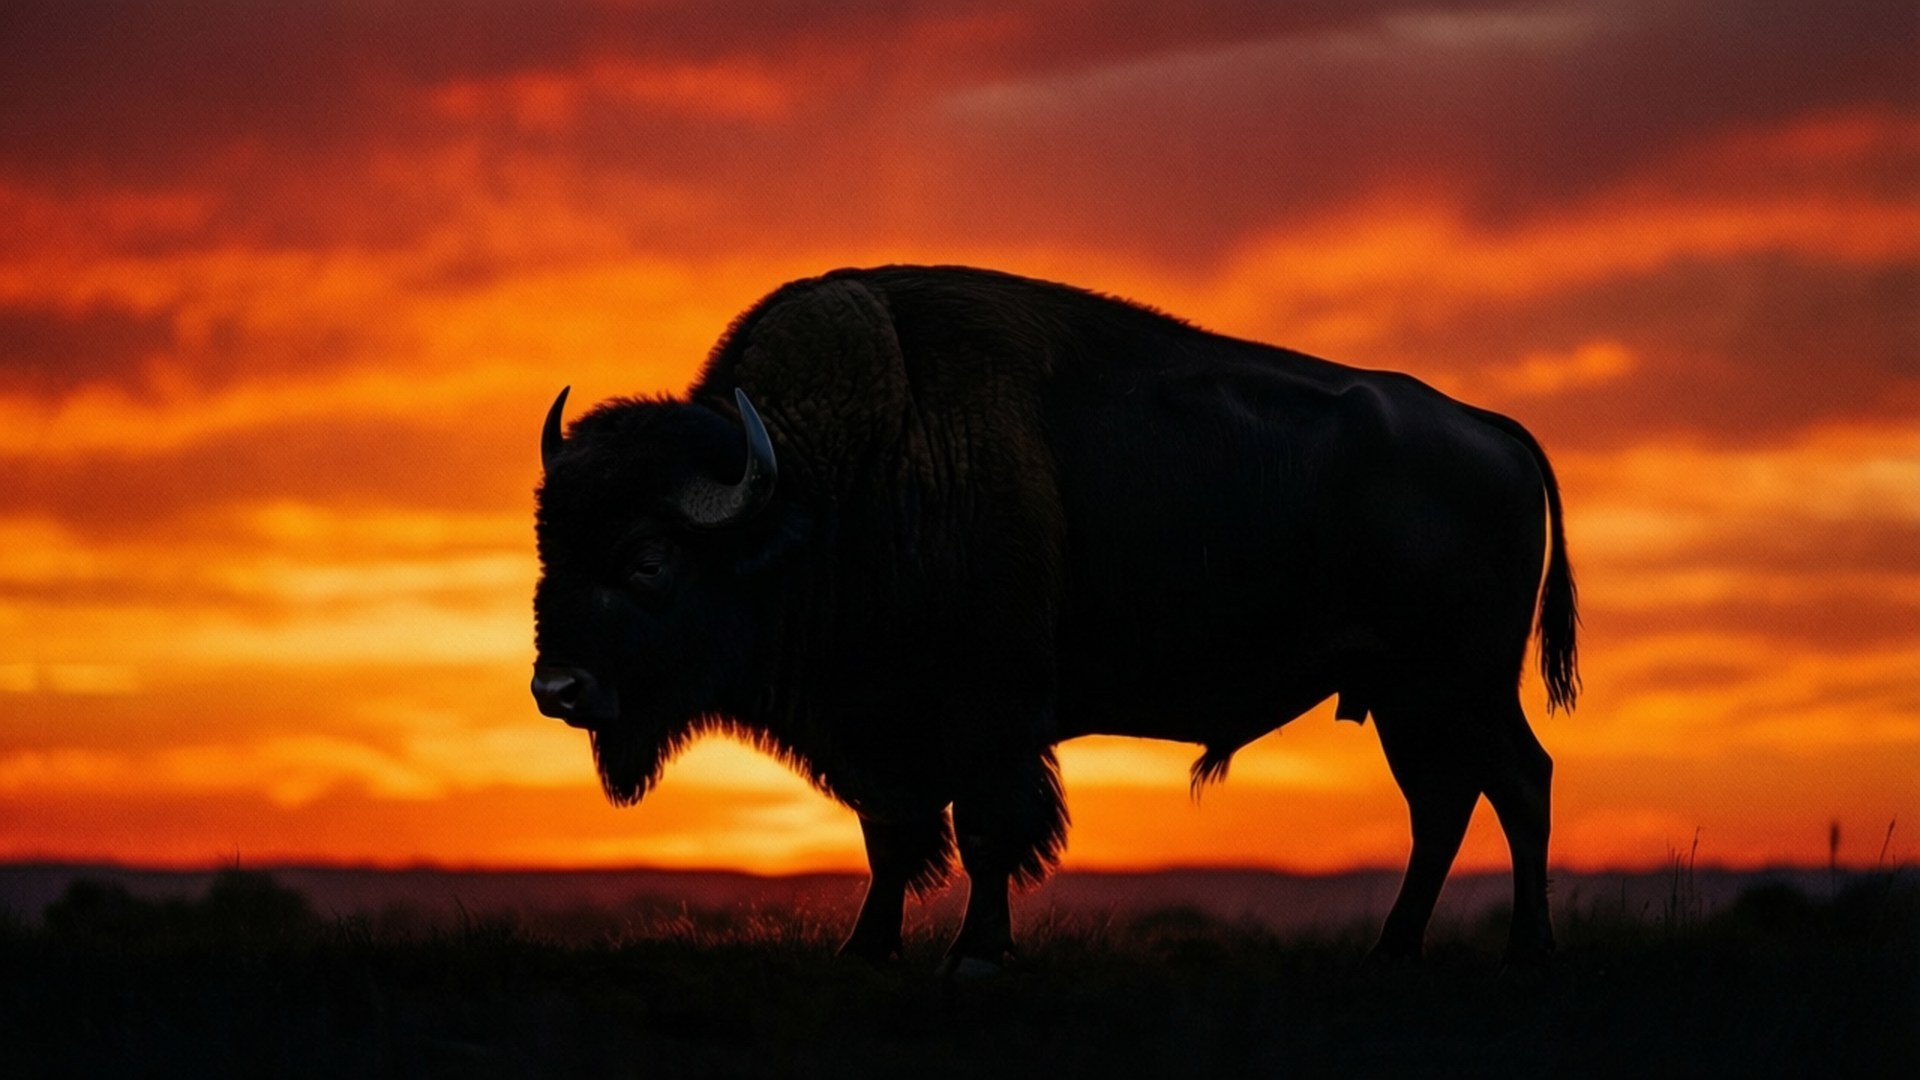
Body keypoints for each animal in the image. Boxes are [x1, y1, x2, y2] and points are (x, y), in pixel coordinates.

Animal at [531, 265, 1578, 973]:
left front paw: (975, 958)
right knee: (1445, 805)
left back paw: (1525, 954)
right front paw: (867, 951)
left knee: (1516, 784)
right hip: (1407, 697)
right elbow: (891, 838)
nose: (557, 688)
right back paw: (1392, 954)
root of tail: (1492, 430)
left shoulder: (988, 722)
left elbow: (986, 834)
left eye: (648, 558)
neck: (821, 488)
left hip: (1460, 684)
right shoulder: (887, 733)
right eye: (549, 549)